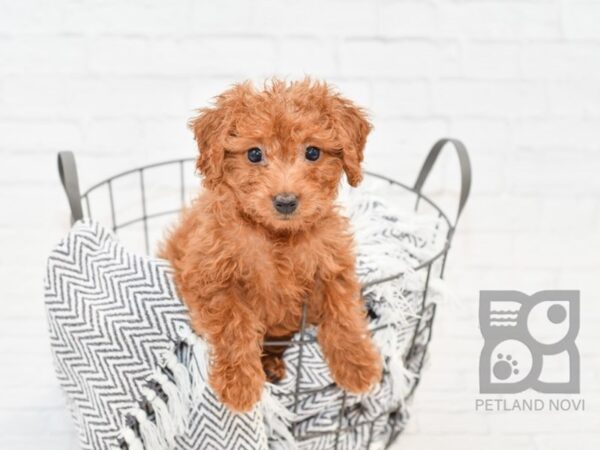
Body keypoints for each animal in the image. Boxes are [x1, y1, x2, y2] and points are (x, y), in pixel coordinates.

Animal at [162, 78, 382, 412]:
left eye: (313, 152)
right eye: (254, 154)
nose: (286, 201)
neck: (277, 236)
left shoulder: (330, 265)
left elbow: (343, 315)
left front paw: (358, 365)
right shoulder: (210, 275)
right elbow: (233, 324)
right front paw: (239, 383)